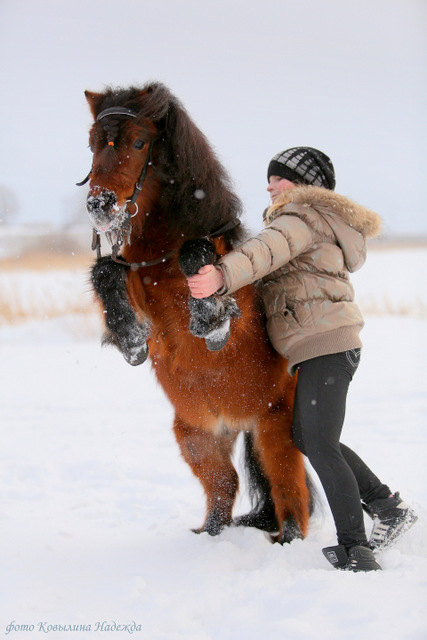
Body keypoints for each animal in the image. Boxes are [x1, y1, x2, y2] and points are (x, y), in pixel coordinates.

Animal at [80, 82, 312, 544]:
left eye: (139, 142)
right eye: (92, 143)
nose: (101, 205)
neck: (162, 262)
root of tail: (236, 420)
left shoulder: (239, 310)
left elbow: (200, 263)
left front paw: (209, 318)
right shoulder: (139, 286)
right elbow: (105, 271)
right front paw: (131, 340)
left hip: (275, 428)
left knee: (289, 492)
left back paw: (288, 541)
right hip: (197, 436)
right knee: (224, 487)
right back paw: (207, 536)